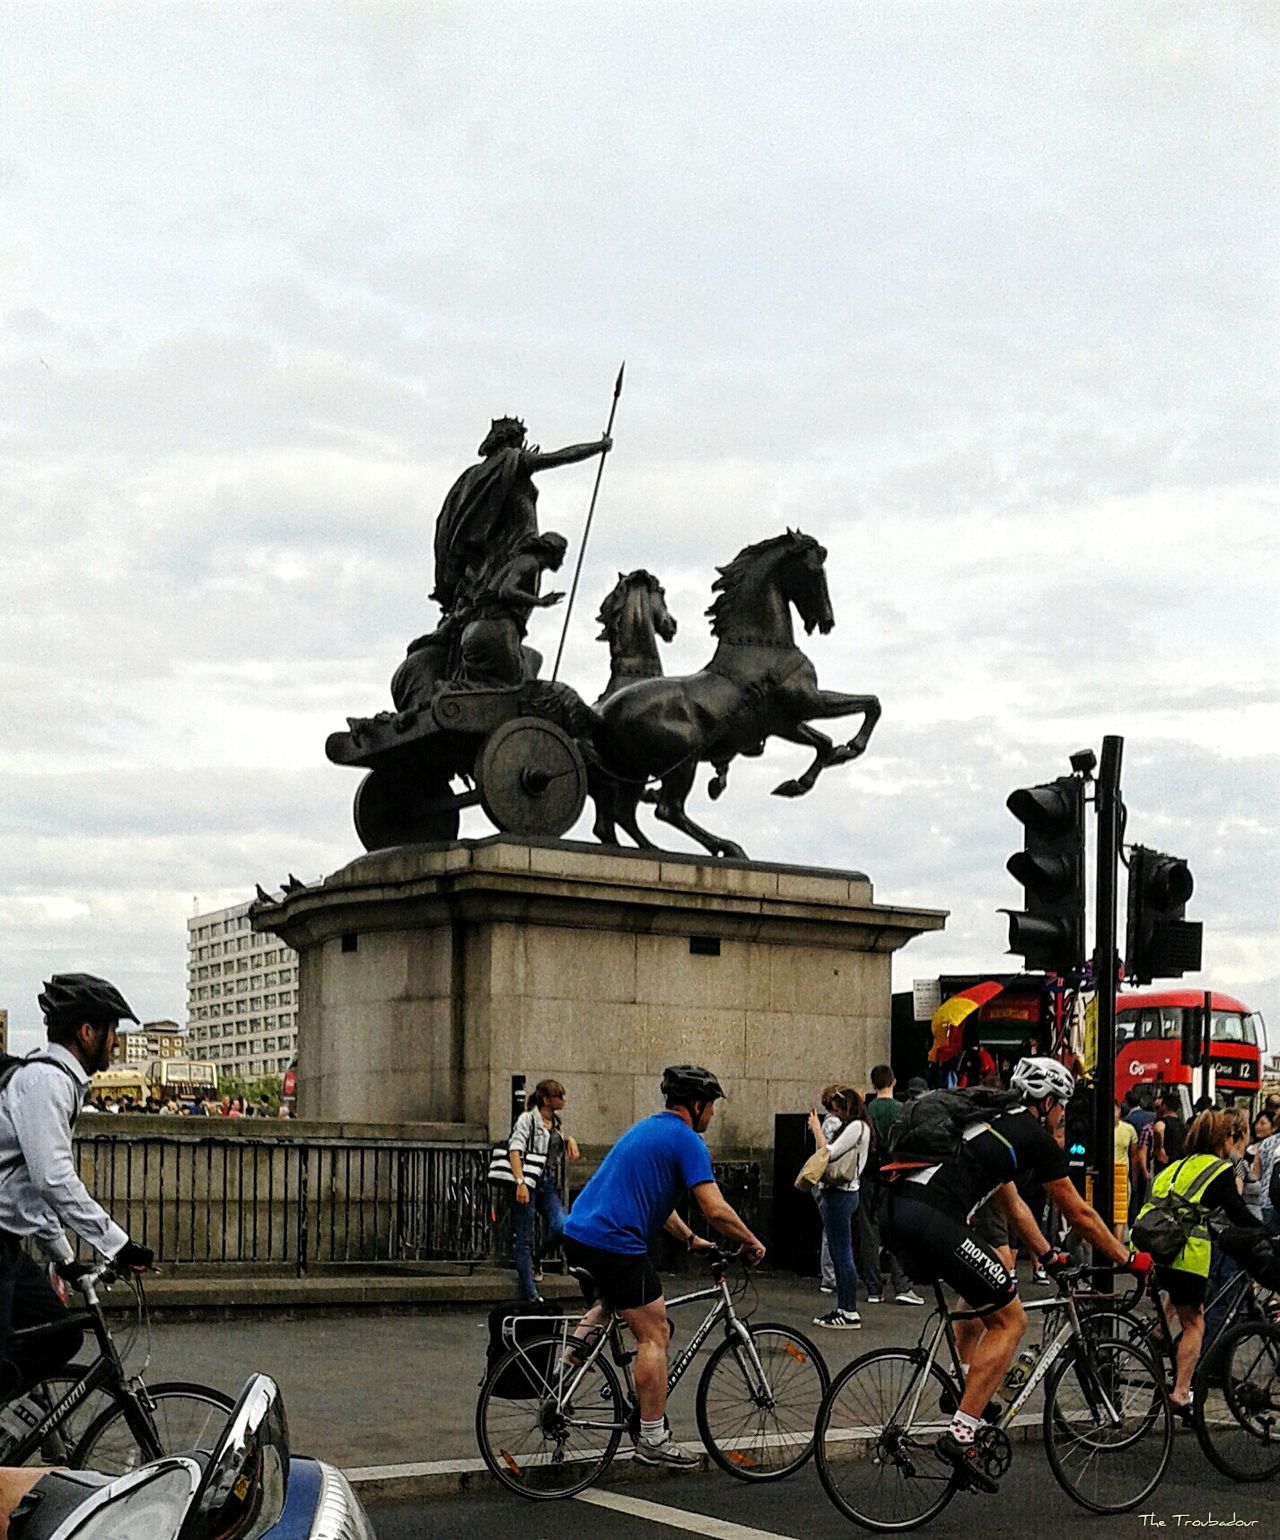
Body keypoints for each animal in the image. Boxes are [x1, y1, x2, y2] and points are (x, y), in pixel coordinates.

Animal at [594, 535, 874, 862]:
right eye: (815, 570)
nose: (826, 621)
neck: (762, 646)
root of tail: (602, 714)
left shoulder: (785, 724)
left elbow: (825, 742)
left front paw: (799, 781)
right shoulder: (810, 703)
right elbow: (870, 704)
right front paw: (848, 749)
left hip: (634, 771)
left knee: (620, 814)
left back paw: (656, 848)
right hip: (681, 762)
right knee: (667, 810)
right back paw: (726, 847)